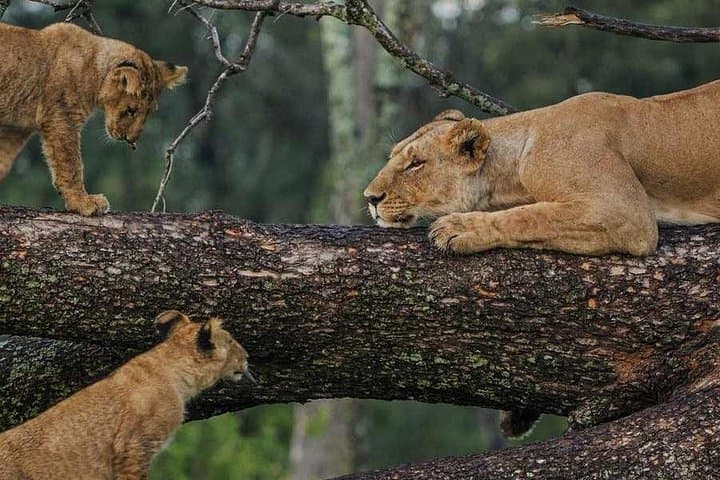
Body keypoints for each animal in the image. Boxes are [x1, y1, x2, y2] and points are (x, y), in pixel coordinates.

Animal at [0, 22, 188, 216]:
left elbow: (3, 159)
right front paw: (83, 202)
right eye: (131, 111)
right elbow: (71, 165)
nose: (131, 140)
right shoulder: (61, 118)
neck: (96, 69)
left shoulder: (15, 130)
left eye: (149, 113)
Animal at [364, 81, 720, 256]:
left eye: (415, 164)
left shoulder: (627, 211)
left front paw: (460, 228)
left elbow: (531, 216)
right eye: (392, 156)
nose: (369, 198)